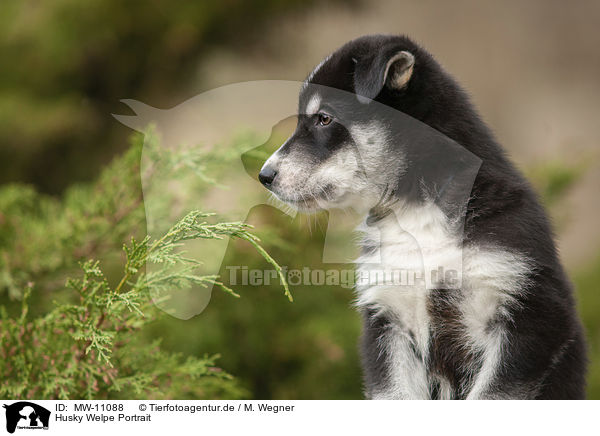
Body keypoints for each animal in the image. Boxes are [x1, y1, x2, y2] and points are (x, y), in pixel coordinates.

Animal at [258, 35, 584, 400]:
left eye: (323, 118)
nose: (264, 176)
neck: (420, 215)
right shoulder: (388, 320)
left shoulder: (528, 313)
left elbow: (492, 393)